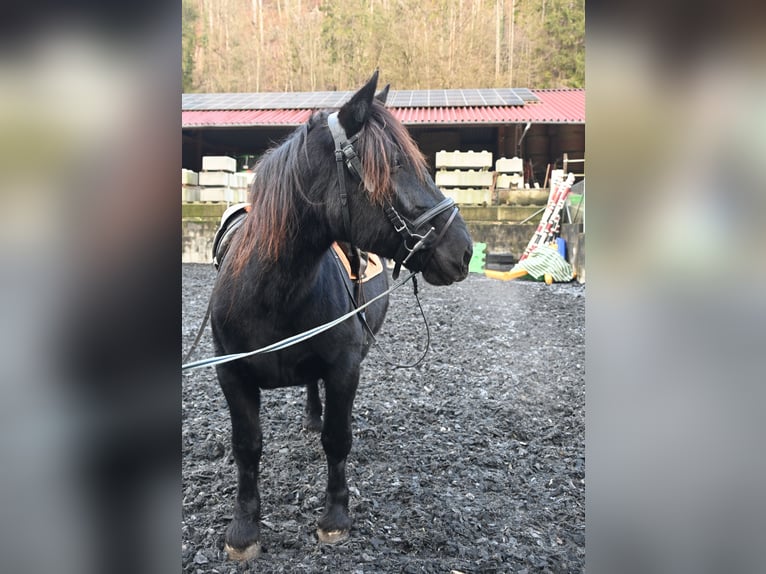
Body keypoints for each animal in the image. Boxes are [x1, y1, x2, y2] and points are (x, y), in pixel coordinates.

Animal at [209, 71, 473, 560]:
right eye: (395, 164)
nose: (463, 249)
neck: (271, 294)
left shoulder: (344, 367)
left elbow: (337, 438)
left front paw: (334, 517)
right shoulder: (231, 375)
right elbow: (247, 447)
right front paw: (244, 529)